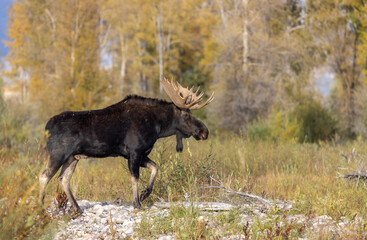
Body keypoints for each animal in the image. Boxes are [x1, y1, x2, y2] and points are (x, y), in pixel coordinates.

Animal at [38, 76, 214, 211]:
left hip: (73, 157)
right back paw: (40, 206)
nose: (204, 131)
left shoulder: (139, 153)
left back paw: (78, 208)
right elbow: (135, 177)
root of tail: (47, 127)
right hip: (58, 154)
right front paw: (137, 203)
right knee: (44, 176)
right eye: (186, 115)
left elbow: (155, 167)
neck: (158, 126)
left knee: (63, 179)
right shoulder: (134, 151)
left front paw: (145, 194)